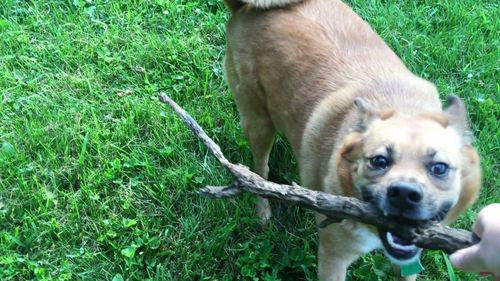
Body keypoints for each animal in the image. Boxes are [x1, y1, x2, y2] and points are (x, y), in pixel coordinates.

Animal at [223, 1, 480, 278]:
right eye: (378, 161)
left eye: (439, 168)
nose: (404, 194)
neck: (401, 107)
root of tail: (245, 8)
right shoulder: (333, 257)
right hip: (257, 122)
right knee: (258, 170)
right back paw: (262, 209)